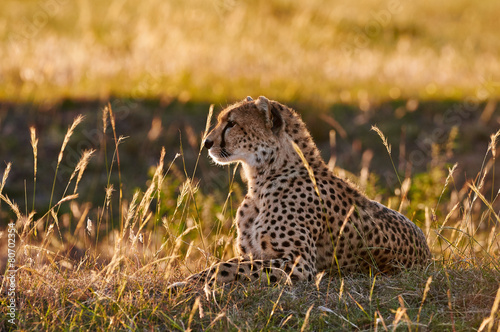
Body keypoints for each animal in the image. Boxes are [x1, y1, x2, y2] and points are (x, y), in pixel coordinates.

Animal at [172, 95, 430, 288]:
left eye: (232, 124)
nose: (206, 143)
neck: (262, 180)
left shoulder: (300, 265)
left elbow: (227, 266)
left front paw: (190, 284)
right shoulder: (255, 254)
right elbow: (232, 262)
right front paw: (188, 282)